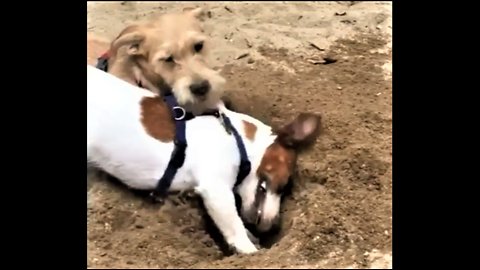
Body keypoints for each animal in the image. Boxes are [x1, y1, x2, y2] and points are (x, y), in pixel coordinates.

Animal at [86, 65, 322, 253]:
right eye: (284, 183)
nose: (274, 226)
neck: (236, 137)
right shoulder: (216, 191)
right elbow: (235, 228)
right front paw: (251, 251)